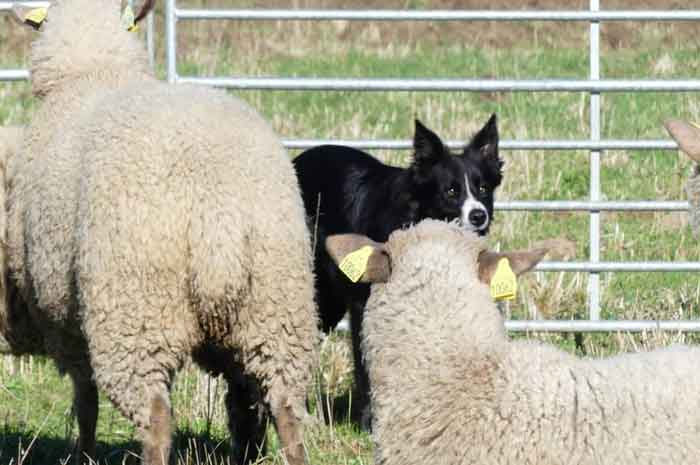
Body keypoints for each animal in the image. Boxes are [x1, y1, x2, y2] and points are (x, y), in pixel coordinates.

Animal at [0, 1, 318, 462]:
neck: (92, 72)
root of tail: (219, 214)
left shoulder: (65, 318)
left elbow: (85, 400)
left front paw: (84, 452)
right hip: (275, 309)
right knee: (280, 405)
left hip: (137, 316)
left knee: (155, 416)